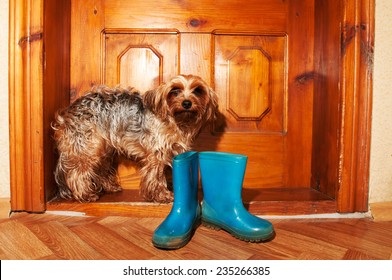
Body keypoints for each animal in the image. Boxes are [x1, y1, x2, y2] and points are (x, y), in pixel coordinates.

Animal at [51, 74, 217, 203]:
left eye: (198, 91)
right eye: (175, 91)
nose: (187, 103)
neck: (177, 120)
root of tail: (68, 112)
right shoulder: (156, 154)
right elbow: (156, 176)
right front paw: (161, 195)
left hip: (104, 148)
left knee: (100, 169)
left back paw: (110, 187)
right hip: (89, 145)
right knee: (77, 172)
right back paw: (85, 194)